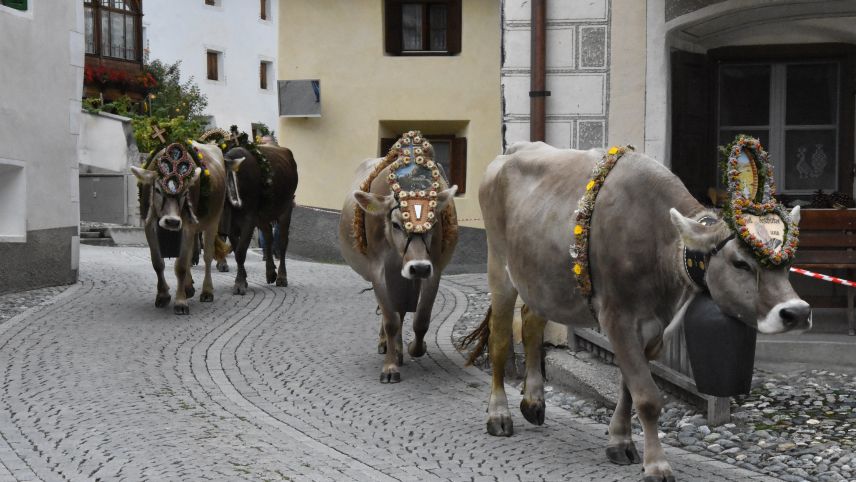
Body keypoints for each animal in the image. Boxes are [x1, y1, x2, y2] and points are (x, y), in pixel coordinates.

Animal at [221, 141, 298, 296]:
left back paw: (281, 277)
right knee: (268, 237)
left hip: (286, 209)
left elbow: (240, 251)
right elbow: (237, 249)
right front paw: (243, 280)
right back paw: (270, 273)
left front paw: (239, 284)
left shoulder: (249, 220)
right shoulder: (232, 224)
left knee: (282, 242)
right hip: (262, 217)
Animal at [340, 132, 462, 384]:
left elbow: (421, 318)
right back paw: (388, 346)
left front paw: (416, 347)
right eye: (396, 224)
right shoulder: (377, 268)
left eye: (433, 223)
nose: (418, 268)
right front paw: (389, 368)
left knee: (404, 311)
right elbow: (390, 319)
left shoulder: (433, 268)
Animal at [468, 141, 808, 480]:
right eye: (740, 262)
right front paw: (657, 464)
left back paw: (534, 402)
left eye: (789, 260)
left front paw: (620, 442)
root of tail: (515, 148)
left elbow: (628, 387)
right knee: (499, 339)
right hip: (499, 267)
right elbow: (647, 397)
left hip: (542, 281)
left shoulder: (653, 327)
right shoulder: (618, 317)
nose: (798, 312)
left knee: (531, 323)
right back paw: (499, 415)